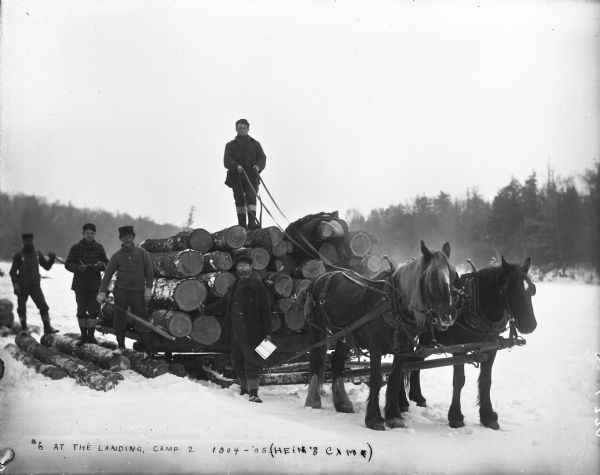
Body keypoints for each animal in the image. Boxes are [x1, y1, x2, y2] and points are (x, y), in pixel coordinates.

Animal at [304, 242, 460, 432]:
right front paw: (374, 419)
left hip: (345, 334)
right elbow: (377, 379)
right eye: (431, 277)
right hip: (317, 330)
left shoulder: (403, 351)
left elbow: (394, 380)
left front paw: (394, 417)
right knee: (316, 360)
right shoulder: (375, 346)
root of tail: (319, 278)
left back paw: (342, 403)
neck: (394, 305)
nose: (448, 315)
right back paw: (313, 401)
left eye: (454, 275)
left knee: (337, 361)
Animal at [400, 256, 536, 432]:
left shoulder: (491, 348)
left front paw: (488, 416)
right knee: (404, 362)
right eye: (510, 290)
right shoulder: (460, 350)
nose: (530, 325)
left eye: (532, 289)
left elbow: (486, 381)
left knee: (416, 362)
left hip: (426, 341)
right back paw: (402, 401)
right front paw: (455, 417)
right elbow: (459, 381)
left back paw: (417, 397)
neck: (475, 305)